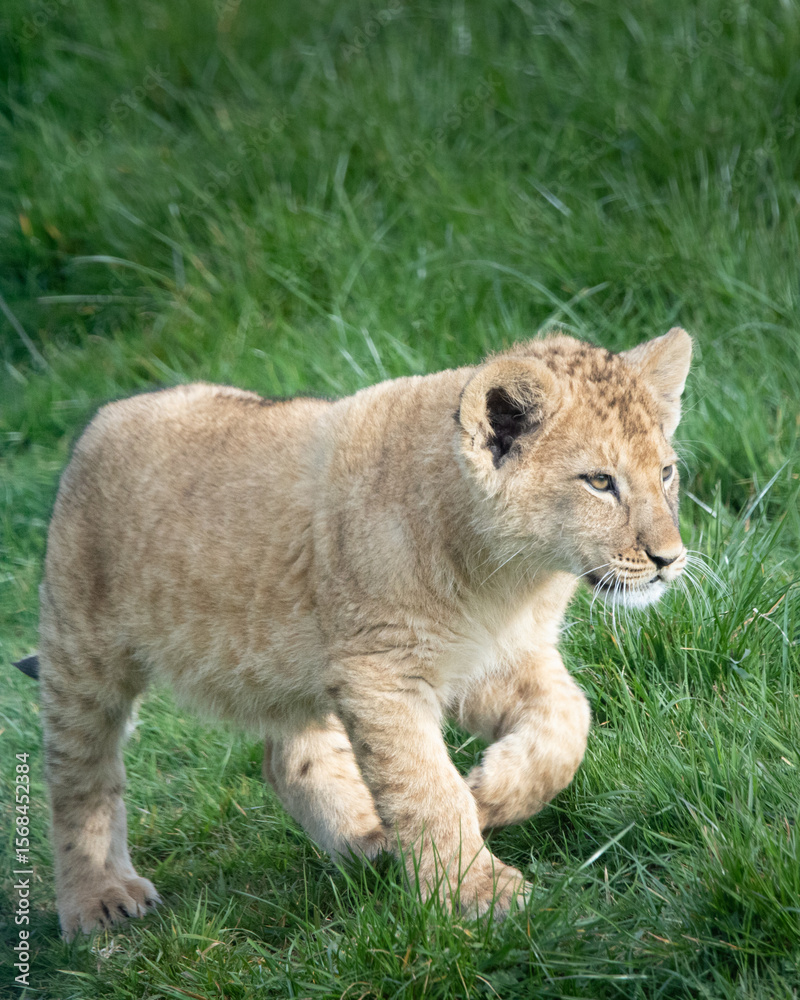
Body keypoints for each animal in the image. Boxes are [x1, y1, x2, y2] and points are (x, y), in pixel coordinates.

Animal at [19, 327, 691, 937]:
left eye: (665, 474)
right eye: (599, 482)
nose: (670, 559)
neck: (510, 579)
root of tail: (101, 418)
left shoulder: (497, 659)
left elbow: (567, 722)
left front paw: (492, 794)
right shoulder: (383, 672)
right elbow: (426, 786)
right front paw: (475, 893)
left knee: (288, 758)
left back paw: (368, 839)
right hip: (82, 651)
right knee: (79, 775)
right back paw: (97, 899)